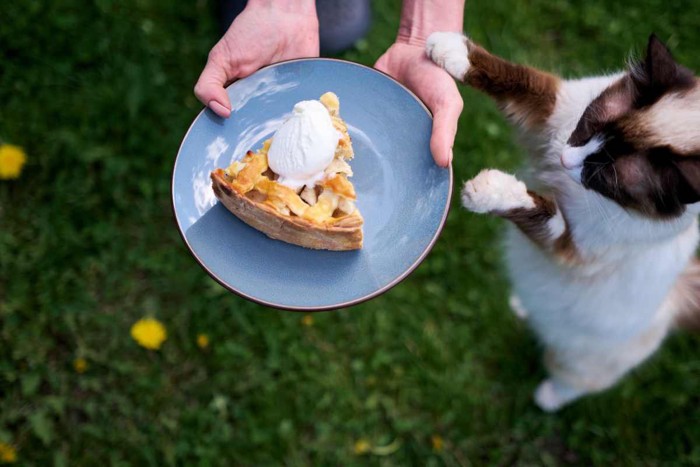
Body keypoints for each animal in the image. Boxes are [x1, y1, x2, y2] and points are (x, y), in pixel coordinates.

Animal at [424, 33, 700, 412]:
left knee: (571, 385)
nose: (564, 159)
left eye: (602, 176)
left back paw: (545, 398)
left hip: (574, 364)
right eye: (588, 127)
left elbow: (531, 206)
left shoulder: (568, 246)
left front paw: (485, 190)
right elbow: (515, 78)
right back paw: (522, 307)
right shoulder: (555, 114)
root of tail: (673, 304)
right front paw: (449, 50)